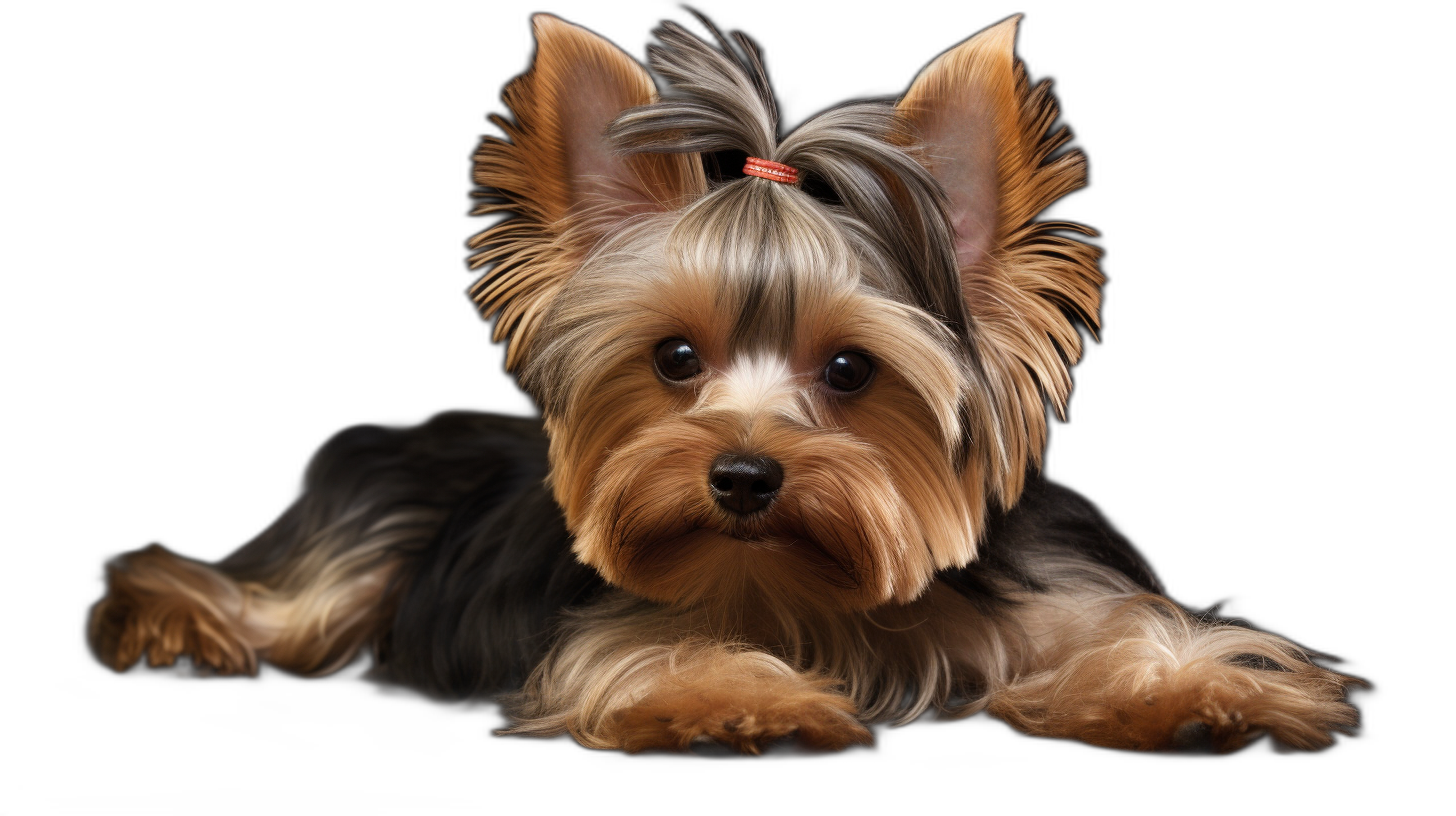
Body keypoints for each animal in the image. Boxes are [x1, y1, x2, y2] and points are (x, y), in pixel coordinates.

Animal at [88, 14, 1362, 757]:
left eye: (849, 369)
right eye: (674, 360)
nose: (743, 475)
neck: (812, 593)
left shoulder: (1053, 589)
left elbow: (1123, 636)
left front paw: (1205, 697)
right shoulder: (604, 633)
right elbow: (648, 661)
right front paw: (739, 701)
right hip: (365, 539)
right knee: (265, 597)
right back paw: (172, 624)